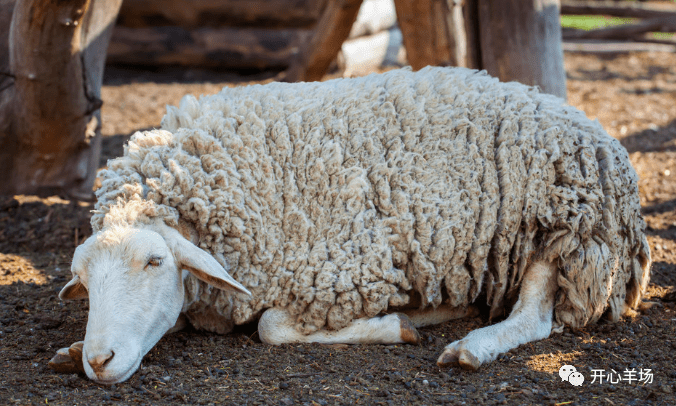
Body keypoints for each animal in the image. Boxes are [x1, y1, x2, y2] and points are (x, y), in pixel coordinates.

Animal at [47, 66, 648, 384]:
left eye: (154, 261)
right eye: (85, 279)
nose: (101, 360)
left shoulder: (348, 265)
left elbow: (271, 327)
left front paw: (396, 325)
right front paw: (74, 350)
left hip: (563, 226)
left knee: (535, 318)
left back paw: (470, 345)